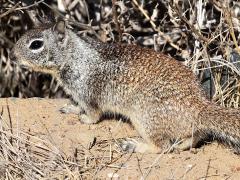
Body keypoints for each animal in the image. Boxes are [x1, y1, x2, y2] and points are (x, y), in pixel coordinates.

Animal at [10, 20, 240, 153]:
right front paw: (70, 108)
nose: (13, 55)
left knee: (162, 147)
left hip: (145, 119)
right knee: (192, 137)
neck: (75, 57)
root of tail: (199, 106)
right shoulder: (79, 93)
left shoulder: (88, 93)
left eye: (36, 44)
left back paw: (135, 146)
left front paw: (84, 118)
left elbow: (93, 114)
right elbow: (77, 105)